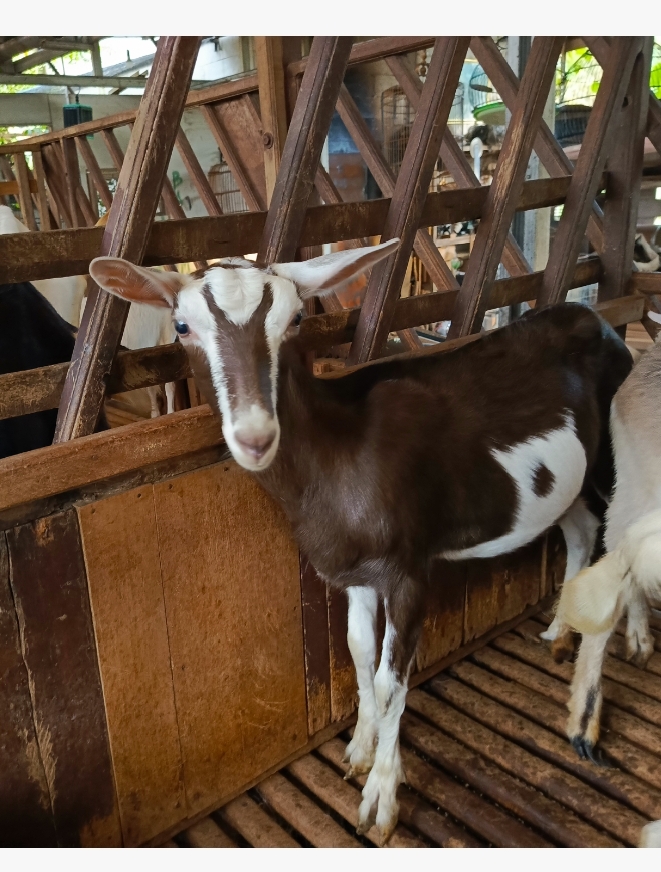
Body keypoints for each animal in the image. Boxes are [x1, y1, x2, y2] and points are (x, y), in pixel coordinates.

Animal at [89, 241, 632, 844]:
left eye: (296, 321)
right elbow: (357, 652)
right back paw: (559, 633)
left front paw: (380, 799)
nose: (255, 436)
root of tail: (595, 319)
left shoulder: (409, 571)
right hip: (572, 482)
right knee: (580, 532)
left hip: (614, 459)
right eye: (182, 326)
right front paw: (358, 749)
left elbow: (392, 679)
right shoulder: (352, 573)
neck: (337, 453)